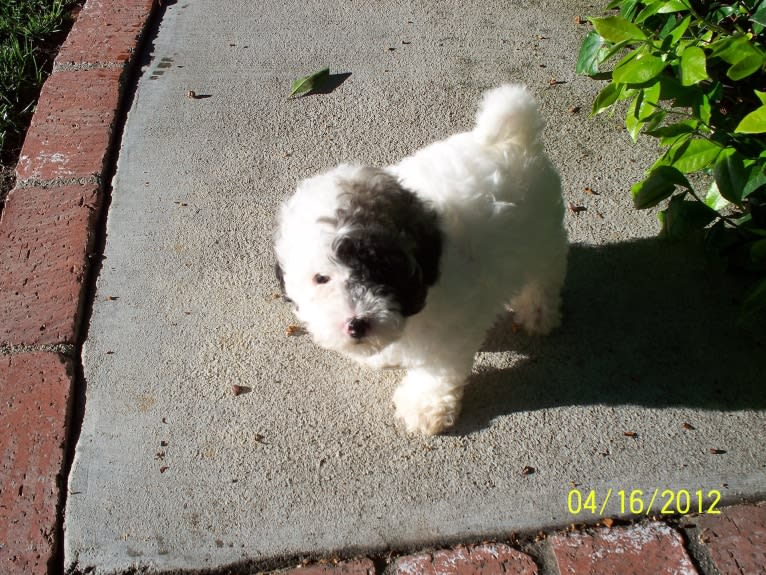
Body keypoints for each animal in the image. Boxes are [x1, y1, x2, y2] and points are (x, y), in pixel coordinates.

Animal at [276, 85, 568, 434]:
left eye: (382, 271)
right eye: (321, 278)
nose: (357, 324)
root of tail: (510, 138)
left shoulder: (452, 326)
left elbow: (437, 369)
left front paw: (424, 406)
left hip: (542, 237)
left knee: (546, 273)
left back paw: (538, 313)